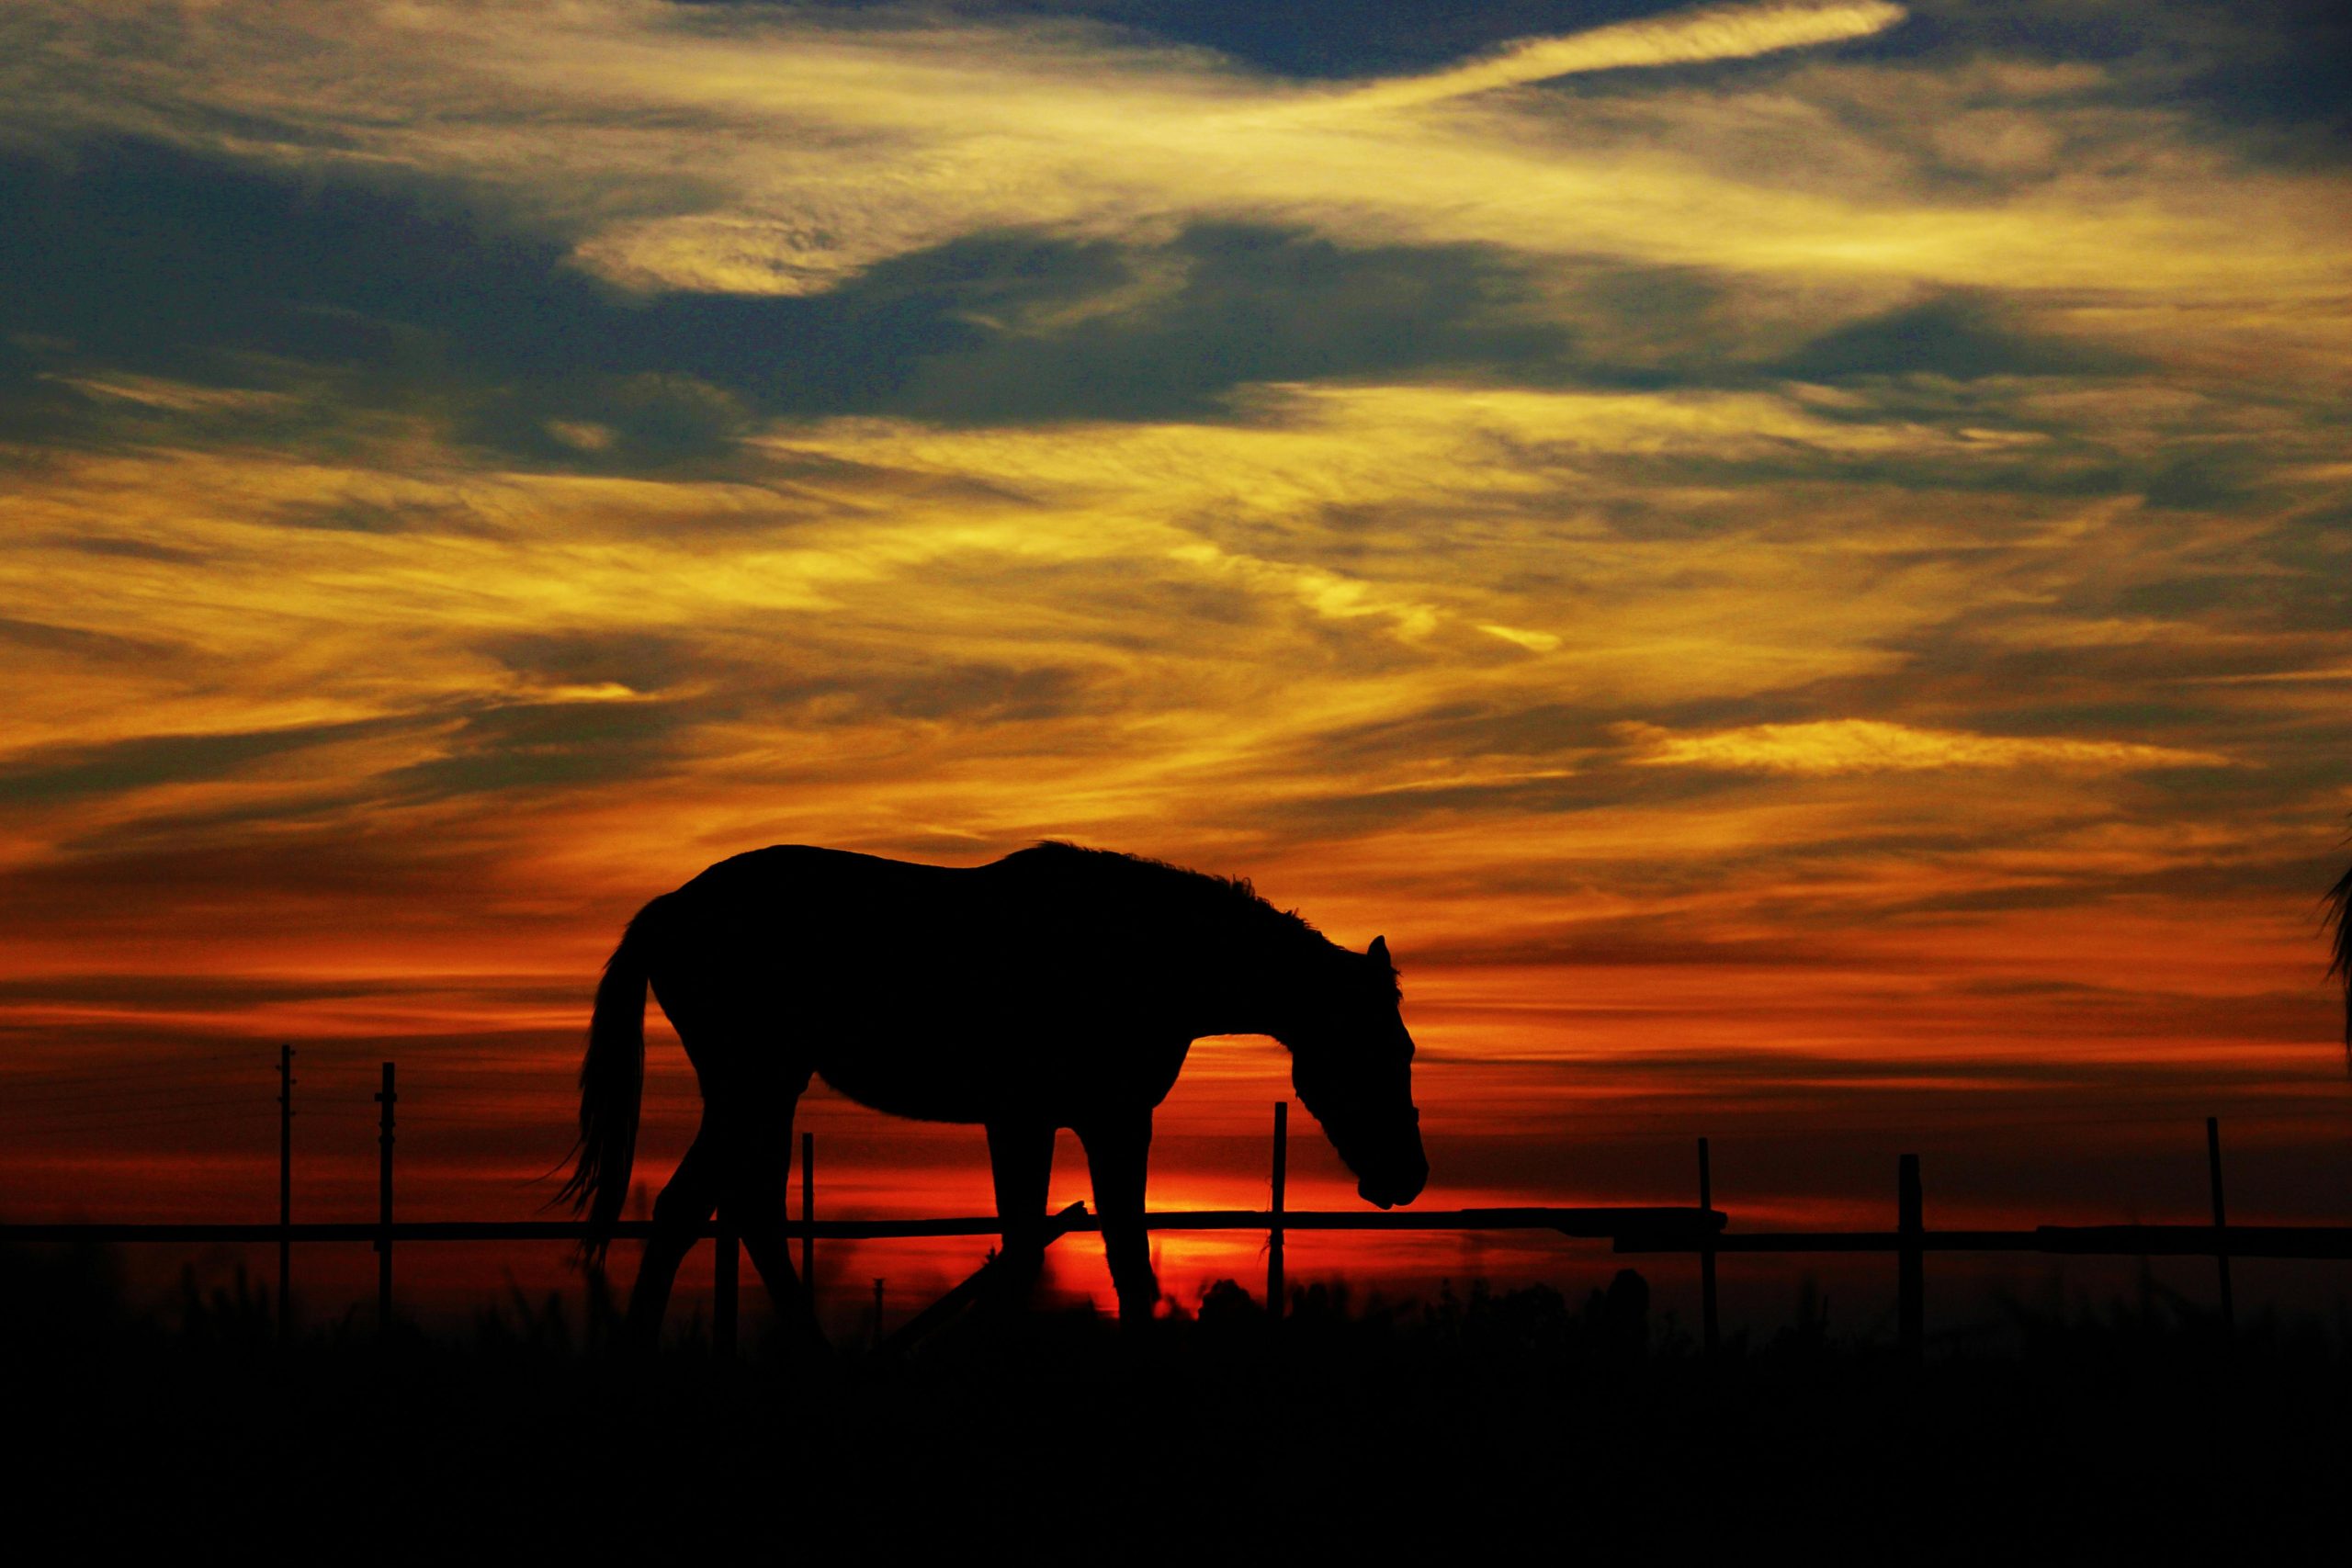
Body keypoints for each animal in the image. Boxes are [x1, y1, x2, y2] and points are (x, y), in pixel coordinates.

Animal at [558, 841, 1429, 1346]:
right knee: (698, 1208)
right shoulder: (1095, 1118)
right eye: (1385, 1048)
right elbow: (1104, 1252)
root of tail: (669, 910)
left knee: (737, 1211)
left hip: (764, 1090)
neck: (1142, 951)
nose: (1408, 1176)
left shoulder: (1039, 1121)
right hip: (753, 1083)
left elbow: (1040, 1245)